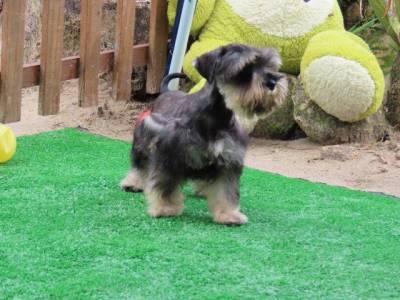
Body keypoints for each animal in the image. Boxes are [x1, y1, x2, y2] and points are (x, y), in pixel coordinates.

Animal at [121, 43, 288, 224]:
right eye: (244, 68)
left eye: (270, 66)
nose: (273, 82)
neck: (217, 116)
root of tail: (165, 92)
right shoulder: (169, 155)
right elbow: (165, 185)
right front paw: (166, 208)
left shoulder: (229, 159)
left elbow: (226, 191)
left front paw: (228, 214)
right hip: (141, 143)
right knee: (140, 165)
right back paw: (133, 183)